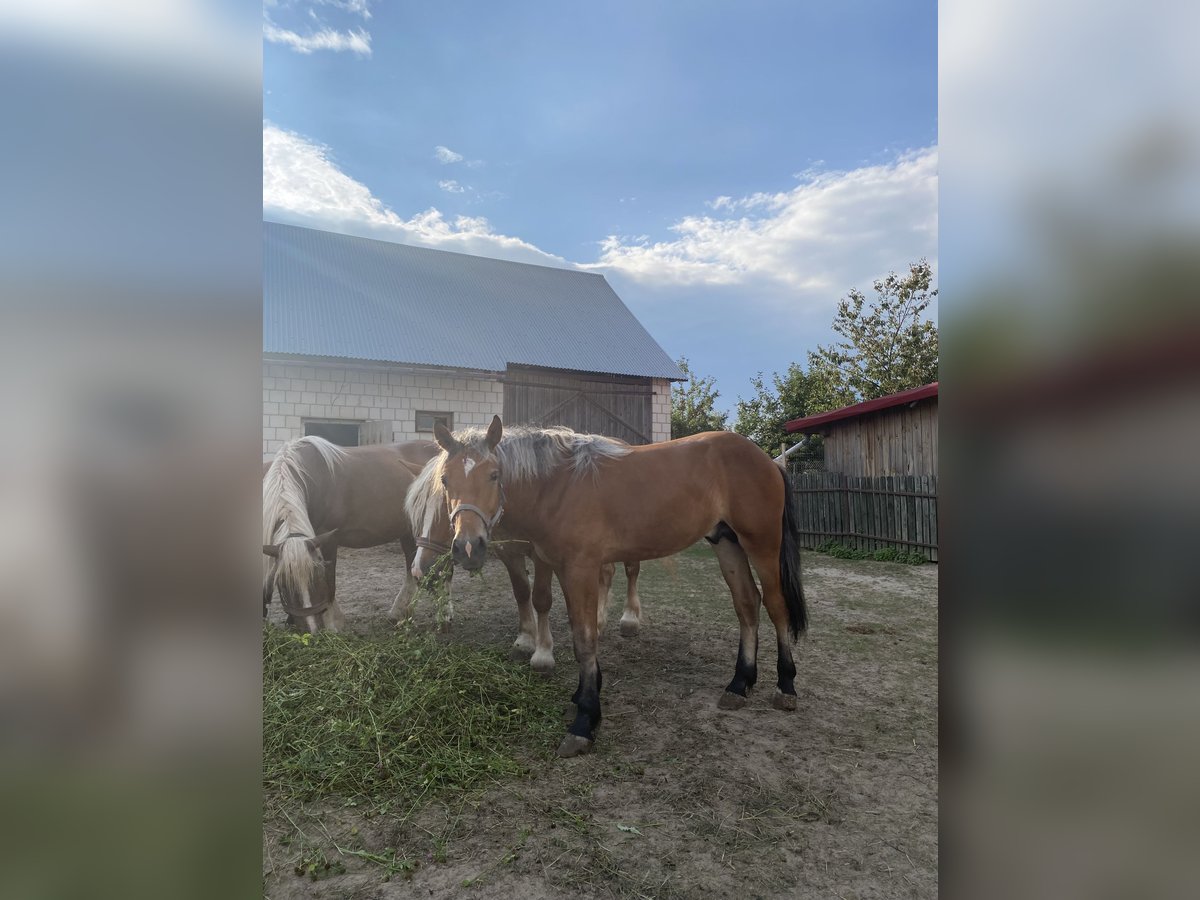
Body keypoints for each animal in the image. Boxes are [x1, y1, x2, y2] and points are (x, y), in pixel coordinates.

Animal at [260, 436, 444, 633]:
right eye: (282, 582)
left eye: (316, 575)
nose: (312, 629)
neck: (310, 478)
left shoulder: (327, 538)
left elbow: (330, 582)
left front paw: (333, 623)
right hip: (409, 533)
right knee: (412, 570)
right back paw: (400, 613)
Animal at [432, 420, 806, 758]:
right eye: (445, 479)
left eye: (494, 475)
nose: (468, 547)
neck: (557, 486)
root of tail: (767, 460)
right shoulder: (564, 570)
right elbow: (577, 633)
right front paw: (581, 700)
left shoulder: (580, 568)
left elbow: (585, 640)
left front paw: (585, 721)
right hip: (727, 543)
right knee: (747, 603)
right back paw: (740, 684)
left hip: (761, 545)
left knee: (776, 606)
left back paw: (786, 686)